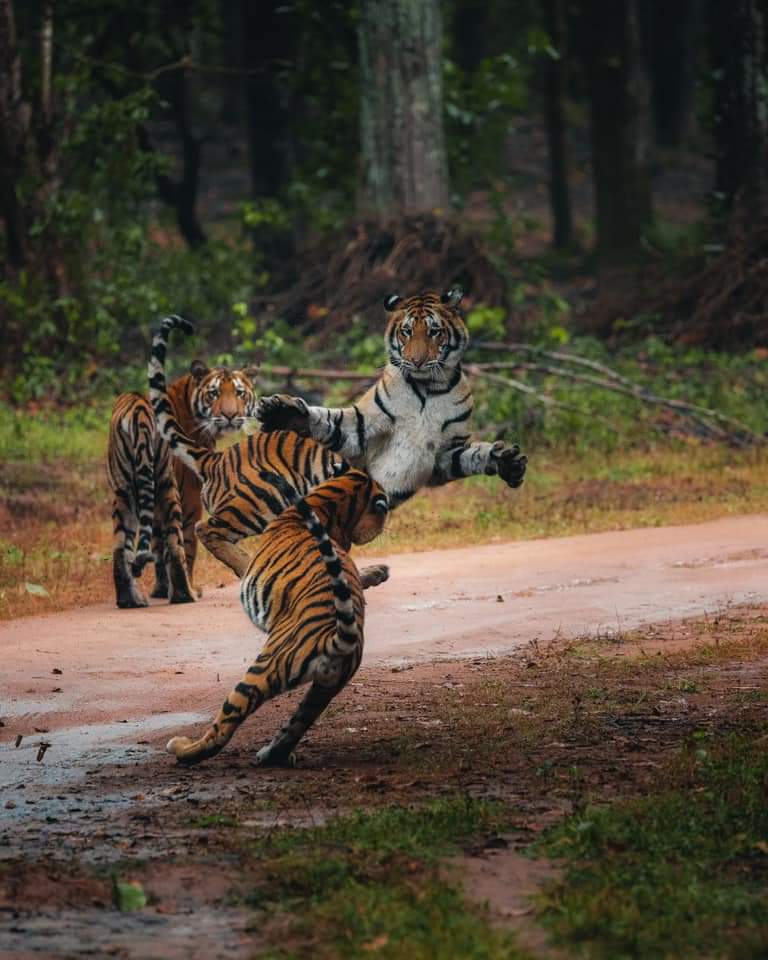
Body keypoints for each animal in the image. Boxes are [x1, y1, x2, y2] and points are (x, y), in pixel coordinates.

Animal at [165, 464, 388, 764]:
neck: (328, 501)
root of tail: (337, 638)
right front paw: (379, 572)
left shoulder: (254, 562)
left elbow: (235, 556)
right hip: (325, 689)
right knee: (296, 724)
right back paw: (271, 754)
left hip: (264, 669)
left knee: (224, 726)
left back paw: (182, 748)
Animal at [256, 286, 528, 506]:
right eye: (406, 331)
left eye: (434, 332)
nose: (417, 361)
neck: (427, 388)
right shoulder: (362, 427)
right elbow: (330, 421)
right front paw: (284, 413)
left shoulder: (446, 453)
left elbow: (472, 455)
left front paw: (507, 462)